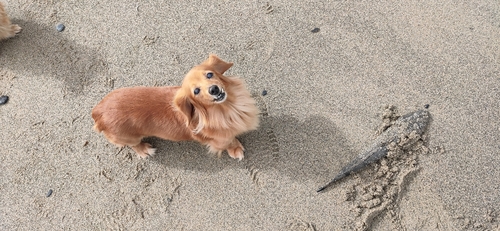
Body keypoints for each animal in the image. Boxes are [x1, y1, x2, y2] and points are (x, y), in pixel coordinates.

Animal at [91, 54, 260, 160]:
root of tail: (98, 111)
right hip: (131, 138)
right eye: (196, 91)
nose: (214, 90)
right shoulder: (221, 140)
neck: (229, 108)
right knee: (133, 145)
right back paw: (144, 150)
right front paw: (235, 149)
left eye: (209, 74)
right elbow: (229, 141)